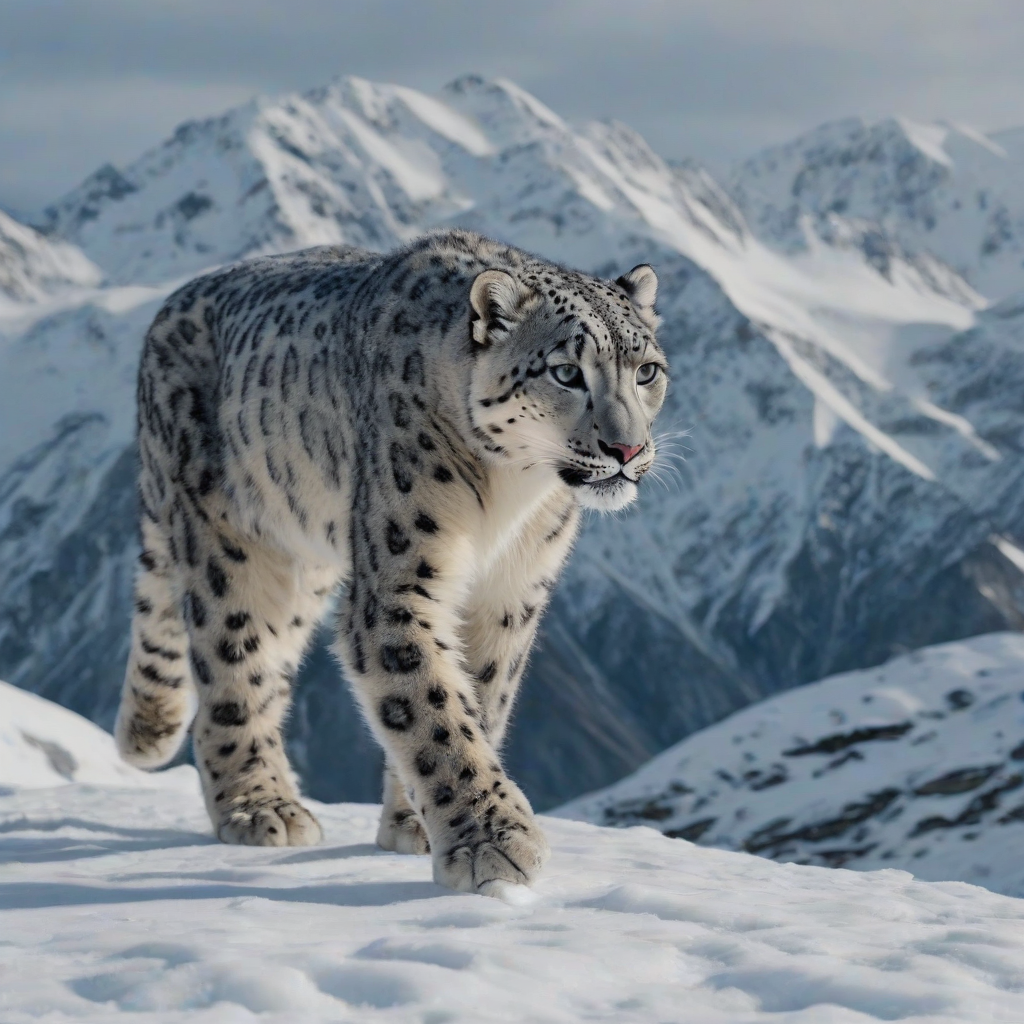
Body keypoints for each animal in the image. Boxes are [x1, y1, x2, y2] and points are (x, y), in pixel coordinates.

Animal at [113, 229, 667, 895]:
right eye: (565, 372)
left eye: (646, 371)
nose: (628, 448)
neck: (511, 498)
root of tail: (168, 307)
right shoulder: (399, 581)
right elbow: (431, 707)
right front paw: (493, 842)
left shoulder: (510, 595)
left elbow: (477, 699)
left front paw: (418, 826)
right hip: (232, 546)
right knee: (232, 666)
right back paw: (260, 807)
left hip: (305, 565)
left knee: (269, 668)